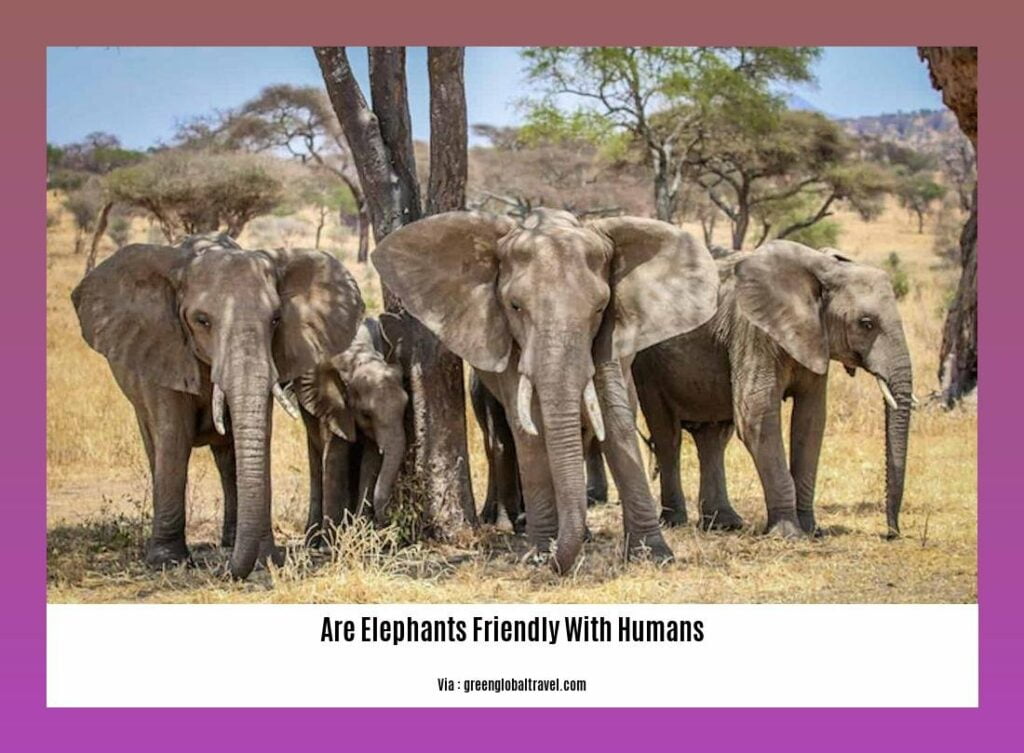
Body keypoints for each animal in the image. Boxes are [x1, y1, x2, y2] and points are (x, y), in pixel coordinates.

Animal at [71, 233, 364, 579]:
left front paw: (266, 559)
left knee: (227, 458)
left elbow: (258, 436)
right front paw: (168, 562)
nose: (223, 571)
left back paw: (230, 540)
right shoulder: (162, 350)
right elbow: (173, 437)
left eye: (276, 320)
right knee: (156, 446)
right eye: (202, 321)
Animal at [293, 317, 409, 543]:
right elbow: (335, 458)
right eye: (366, 413)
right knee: (316, 457)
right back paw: (312, 539)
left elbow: (371, 461)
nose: (388, 523)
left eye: (407, 404)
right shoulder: (335, 406)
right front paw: (330, 543)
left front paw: (359, 534)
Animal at [372, 208, 719, 573]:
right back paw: (513, 523)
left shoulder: (609, 338)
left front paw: (654, 556)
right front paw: (538, 555)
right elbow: (529, 431)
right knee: (501, 437)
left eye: (599, 309)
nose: (552, 558)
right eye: (515, 306)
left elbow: (616, 420)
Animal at [629, 240, 913, 538]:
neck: (823, 268)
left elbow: (810, 423)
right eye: (866, 323)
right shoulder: (753, 331)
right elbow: (758, 419)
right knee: (668, 437)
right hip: (647, 365)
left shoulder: (814, 339)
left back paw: (724, 524)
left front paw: (812, 531)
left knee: (713, 438)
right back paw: (675, 522)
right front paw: (790, 535)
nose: (892, 533)